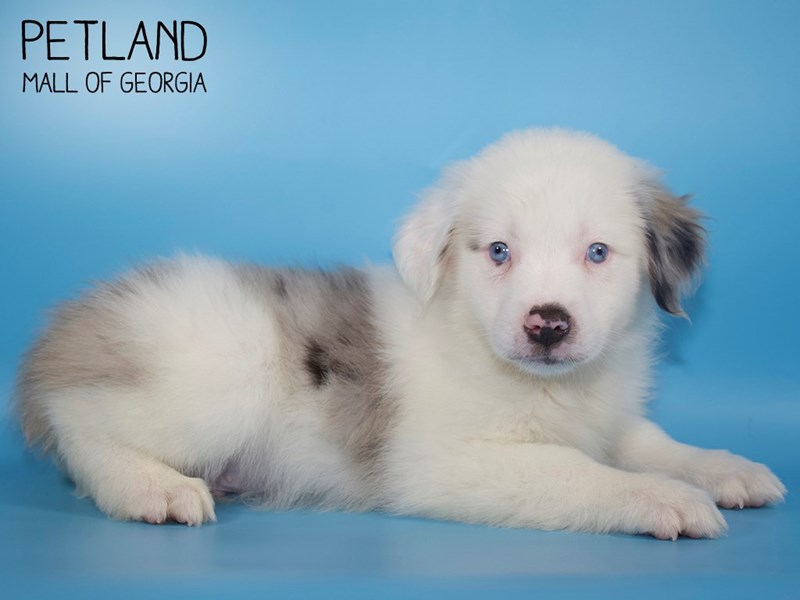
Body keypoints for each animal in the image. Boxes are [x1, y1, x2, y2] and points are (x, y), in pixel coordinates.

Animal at [17, 129, 785, 539]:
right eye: (498, 252)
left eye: (597, 253)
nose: (548, 324)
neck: (546, 388)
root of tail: (71, 325)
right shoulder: (445, 462)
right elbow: (576, 471)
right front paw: (663, 498)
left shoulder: (607, 418)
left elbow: (648, 441)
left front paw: (726, 469)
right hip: (222, 372)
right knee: (79, 419)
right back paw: (148, 487)